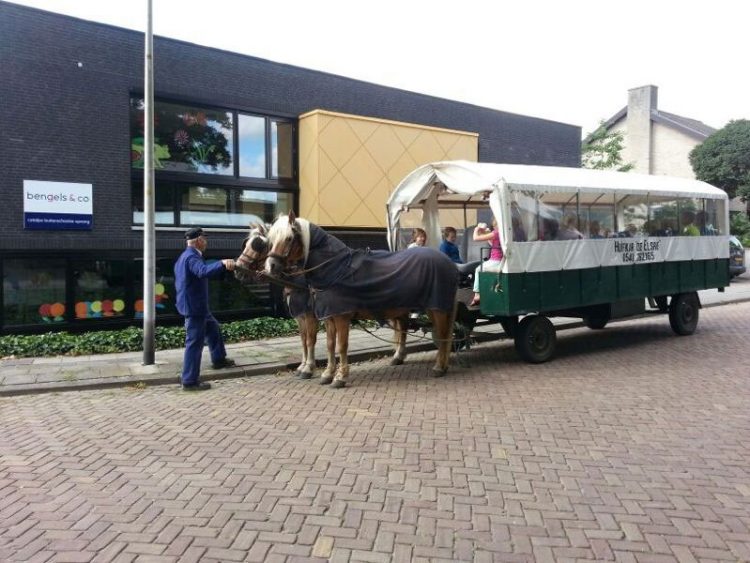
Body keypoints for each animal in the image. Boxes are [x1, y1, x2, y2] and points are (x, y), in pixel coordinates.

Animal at [268, 212, 462, 388]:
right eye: (271, 239)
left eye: (288, 238)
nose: (271, 265)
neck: (336, 269)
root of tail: (448, 263)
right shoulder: (328, 316)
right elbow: (329, 344)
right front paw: (327, 374)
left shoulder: (339, 316)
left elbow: (339, 345)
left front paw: (339, 377)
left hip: (436, 307)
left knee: (443, 334)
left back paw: (439, 367)